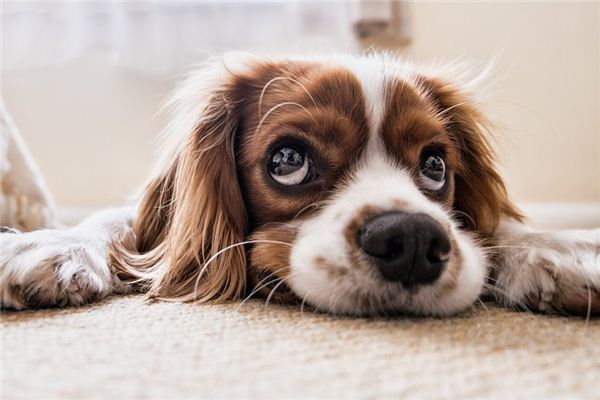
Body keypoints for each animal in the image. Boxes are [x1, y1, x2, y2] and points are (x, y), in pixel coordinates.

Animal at [1, 53, 600, 316]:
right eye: (287, 160)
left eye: (435, 166)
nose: (410, 240)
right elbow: (116, 221)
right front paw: (50, 244)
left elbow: (500, 226)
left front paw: (559, 247)